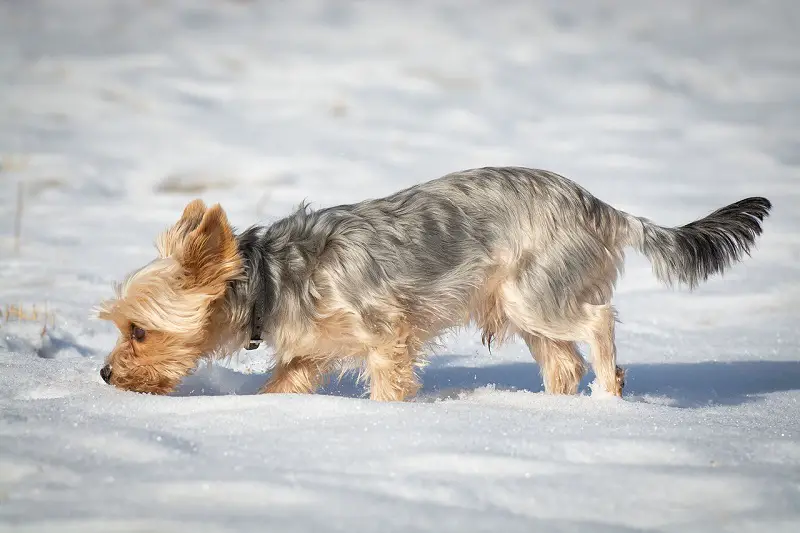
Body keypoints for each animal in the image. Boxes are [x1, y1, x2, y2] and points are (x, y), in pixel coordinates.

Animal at [94, 167, 768, 400]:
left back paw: (608, 395)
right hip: (520, 306)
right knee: (562, 363)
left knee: (597, 324)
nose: (103, 373)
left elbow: (388, 384)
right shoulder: (307, 354)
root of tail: (602, 208)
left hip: (534, 295)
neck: (266, 279)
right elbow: (283, 385)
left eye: (138, 330)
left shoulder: (385, 334)